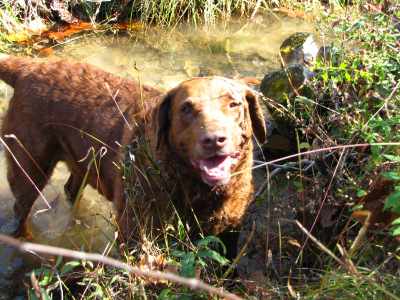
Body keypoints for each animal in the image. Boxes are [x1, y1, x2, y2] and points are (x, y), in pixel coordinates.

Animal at [0, 54, 268, 248]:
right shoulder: (135, 230)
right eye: (186, 109)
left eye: (234, 104)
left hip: (82, 161)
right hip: (29, 165)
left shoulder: (231, 228)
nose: (213, 139)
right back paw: (26, 240)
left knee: (70, 189)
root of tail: (29, 67)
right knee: (21, 208)